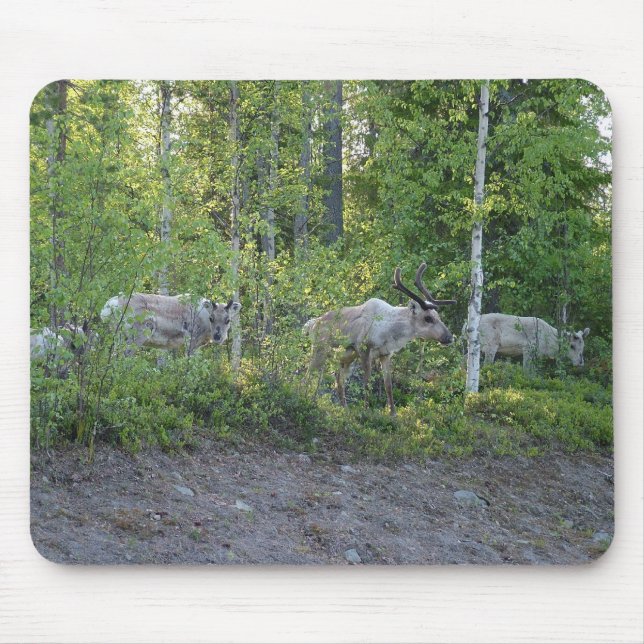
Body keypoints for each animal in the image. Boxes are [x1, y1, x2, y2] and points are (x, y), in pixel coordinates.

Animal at [304, 262, 456, 415]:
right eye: (428, 318)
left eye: (438, 316)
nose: (449, 337)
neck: (389, 331)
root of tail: (312, 324)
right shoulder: (364, 350)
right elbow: (367, 383)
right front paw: (366, 410)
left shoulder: (385, 354)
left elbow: (388, 385)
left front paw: (393, 413)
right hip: (320, 350)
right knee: (309, 375)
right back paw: (306, 398)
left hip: (346, 358)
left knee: (337, 380)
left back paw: (344, 409)